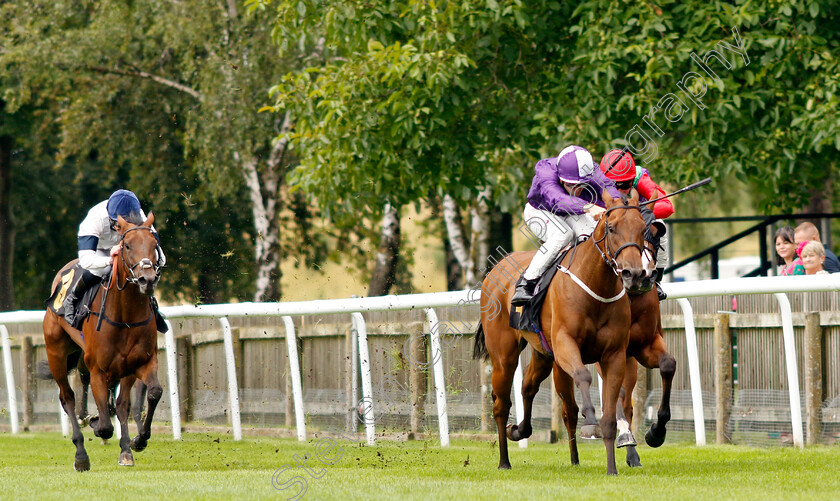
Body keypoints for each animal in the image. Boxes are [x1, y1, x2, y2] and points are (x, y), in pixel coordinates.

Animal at [43, 213, 165, 470]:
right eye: (127, 245)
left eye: (154, 245)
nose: (147, 279)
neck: (125, 316)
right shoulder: (98, 368)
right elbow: (106, 426)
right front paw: (97, 423)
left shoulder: (140, 362)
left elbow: (149, 394)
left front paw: (136, 442)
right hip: (56, 352)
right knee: (67, 397)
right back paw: (81, 454)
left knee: (116, 401)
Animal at [472, 189, 648, 474]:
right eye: (611, 227)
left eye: (643, 228)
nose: (633, 273)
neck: (595, 288)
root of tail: (496, 269)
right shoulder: (566, 344)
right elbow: (583, 377)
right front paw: (591, 422)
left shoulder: (614, 355)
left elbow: (611, 414)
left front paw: (612, 468)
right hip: (503, 357)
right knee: (501, 404)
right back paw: (504, 460)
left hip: (543, 354)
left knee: (529, 387)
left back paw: (526, 433)